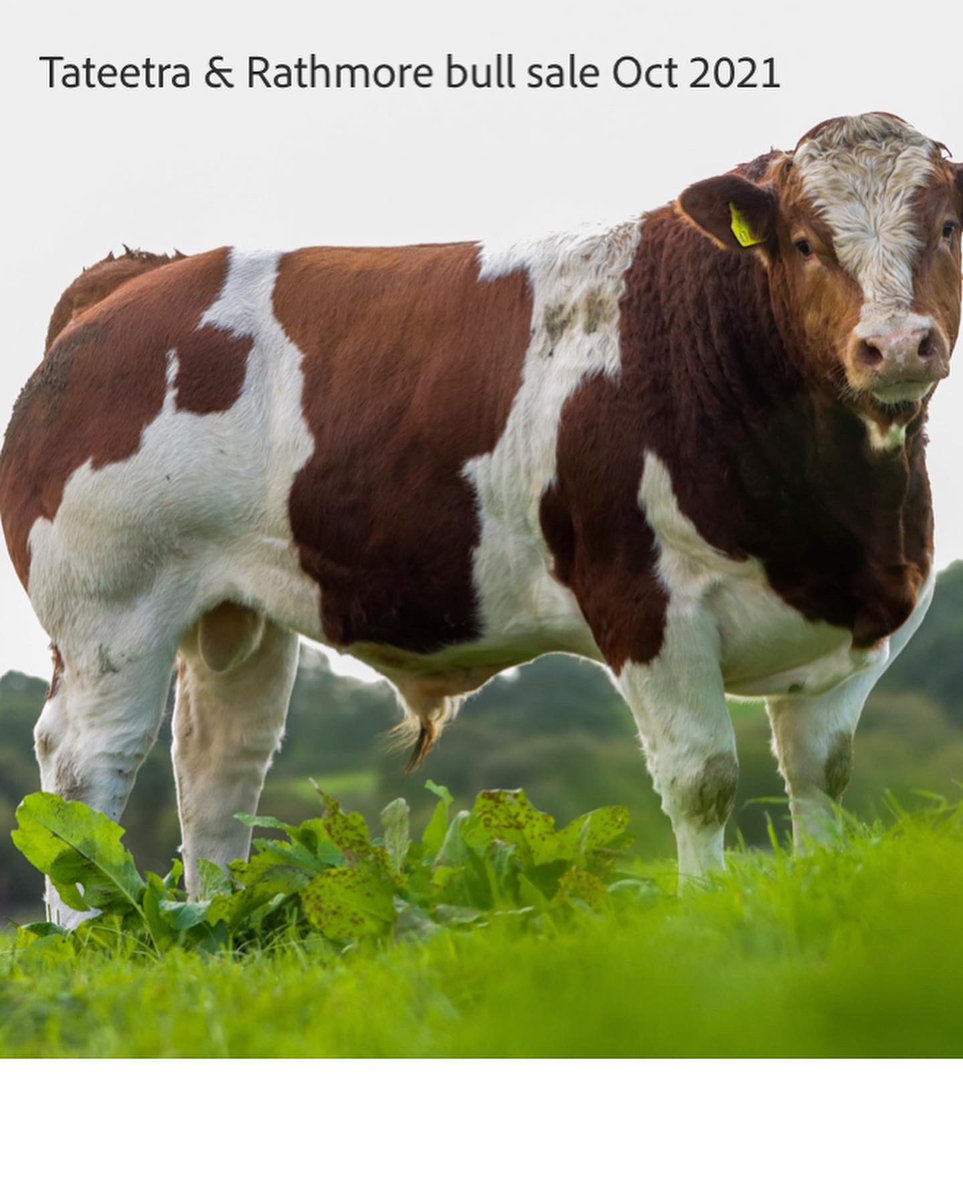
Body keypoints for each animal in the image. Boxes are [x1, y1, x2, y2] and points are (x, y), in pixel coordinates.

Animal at [2, 112, 961, 924]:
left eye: (948, 226)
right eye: (803, 242)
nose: (894, 345)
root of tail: (133, 277)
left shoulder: (863, 626)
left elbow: (819, 779)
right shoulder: (646, 607)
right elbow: (704, 780)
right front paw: (703, 919)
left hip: (236, 610)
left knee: (218, 766)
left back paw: (218, 921)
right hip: (110, 614)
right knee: (84, 769)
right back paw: (93, 933)